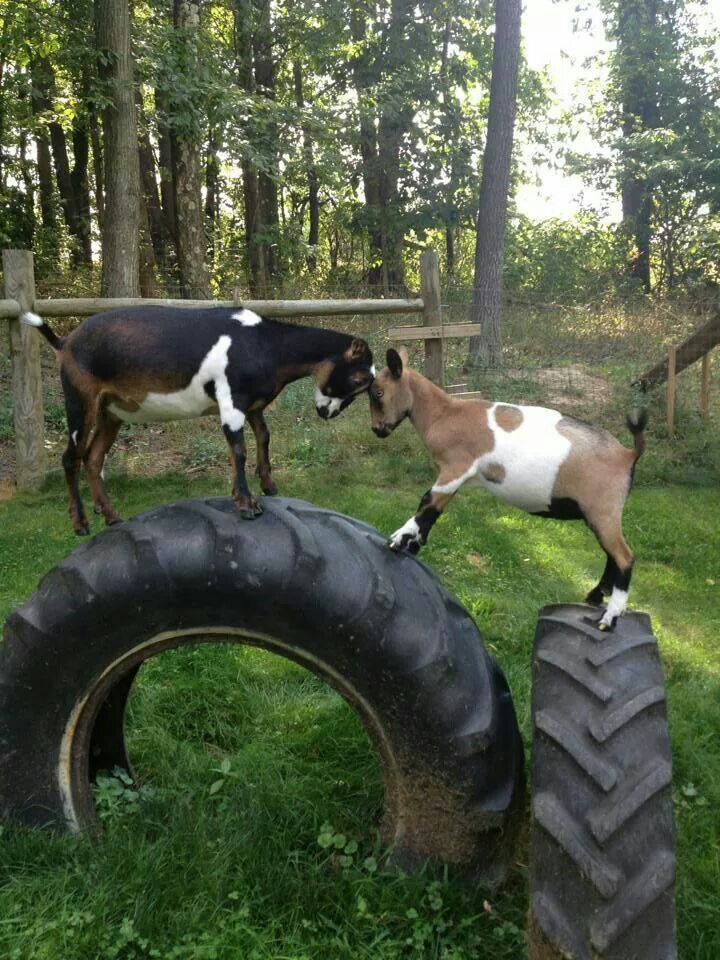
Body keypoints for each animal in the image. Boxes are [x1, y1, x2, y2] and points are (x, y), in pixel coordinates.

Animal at [23, 306, 372, 532]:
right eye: (357, 380)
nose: (329, 413)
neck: (266, 346)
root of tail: (64, 342)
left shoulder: (253, 405)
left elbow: (264, 437)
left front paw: (269, 485)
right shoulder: (231, 401)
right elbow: (239, 450)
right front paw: (246, 504)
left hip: (111, 412)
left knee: (94, 458)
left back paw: (111, 516)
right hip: (81, 401)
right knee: (71, 458)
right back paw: (81, 523)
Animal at [372, 348, 648, 632]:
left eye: (378, 393)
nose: (377, 429)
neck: (444, 414)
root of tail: (628, 455)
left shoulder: (455, 468)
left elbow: (426, 501)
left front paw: (399, 539)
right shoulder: (455, 479)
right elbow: (433, 510)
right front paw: (414, 544)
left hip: (603, 509)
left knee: (624, 557)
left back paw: (610, 616)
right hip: (600, 514)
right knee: (612, 555)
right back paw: (595, 596)